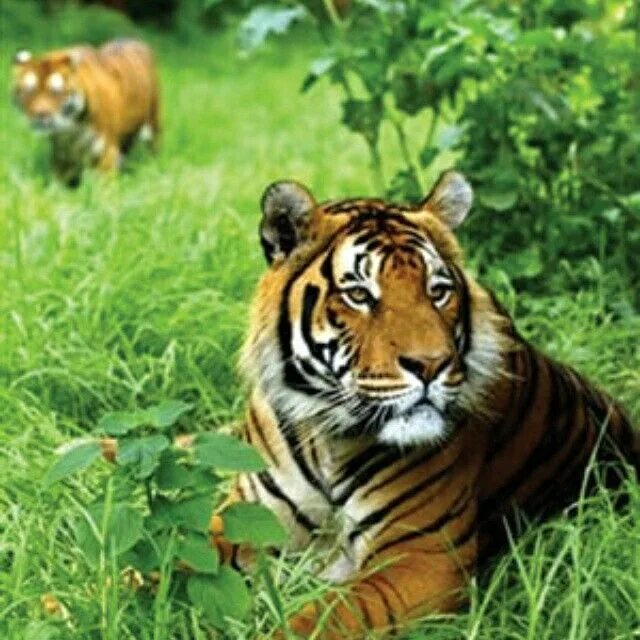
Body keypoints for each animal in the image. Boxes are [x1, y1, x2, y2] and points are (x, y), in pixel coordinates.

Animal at [11, 39, 160, 186]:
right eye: (30, 92)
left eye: (56, 93)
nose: (40, 114)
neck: (72, 128)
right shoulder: (61, 155)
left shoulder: (106, 152)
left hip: (153, 124)